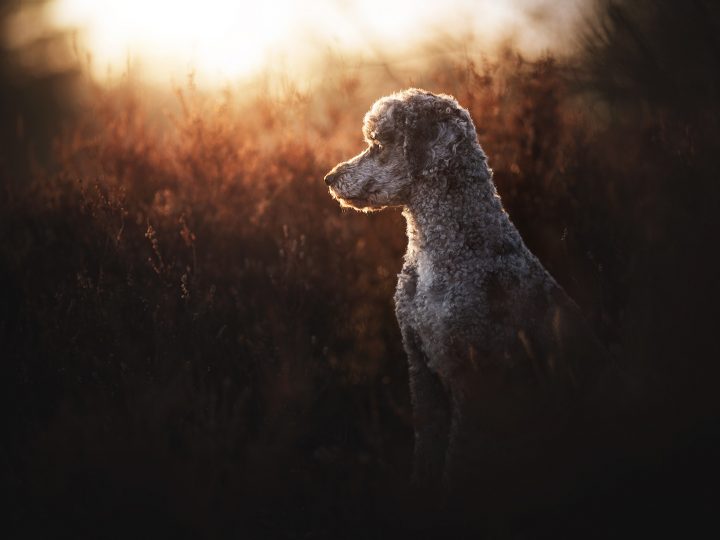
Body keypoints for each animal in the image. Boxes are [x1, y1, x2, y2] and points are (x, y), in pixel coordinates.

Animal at [324, 88, 608, 498]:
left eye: (378, 143)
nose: (329, 178)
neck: (443, 249)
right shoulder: (420, 364)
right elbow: (427, 443)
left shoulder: (474, 379)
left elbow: (460, 458)